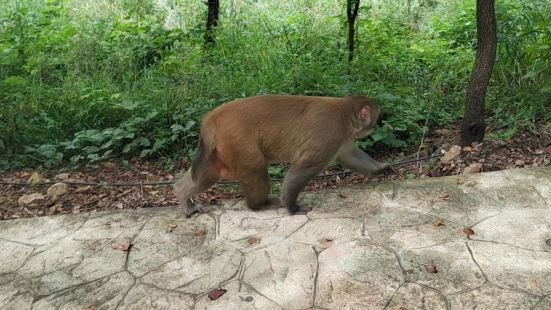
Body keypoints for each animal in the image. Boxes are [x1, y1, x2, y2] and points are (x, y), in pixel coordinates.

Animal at [175, 94, 390, 218]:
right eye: (376, 117)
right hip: (237, 141)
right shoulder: (330, 134)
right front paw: (291, 207)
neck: (345, 113)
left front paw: (381, 169)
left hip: (218, 148)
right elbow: (304, 167)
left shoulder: (341, 139)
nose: (376, 126)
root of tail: (214, 116)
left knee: (208, 175)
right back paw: (259, 205)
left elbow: (349, 155)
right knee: (256, 169)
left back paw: (182, 193)